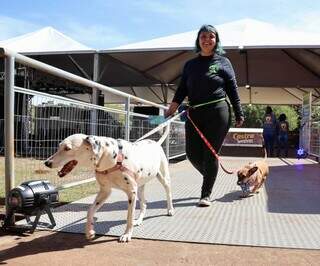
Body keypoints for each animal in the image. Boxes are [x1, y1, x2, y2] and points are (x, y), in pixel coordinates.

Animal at [44, 128, 174, 242]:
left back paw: (170, 210)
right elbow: (90, 211)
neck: (111, 158)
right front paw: (89, 231)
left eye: (67, 148)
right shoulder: (105, 191)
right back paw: (139, 220)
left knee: (168, 192)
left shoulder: (131, 192)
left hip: (163, 178)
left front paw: (127, 235)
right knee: (144, 203)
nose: (46, 163)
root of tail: (156, 143)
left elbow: (129, 216)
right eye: (59, 146)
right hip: (140, 187)